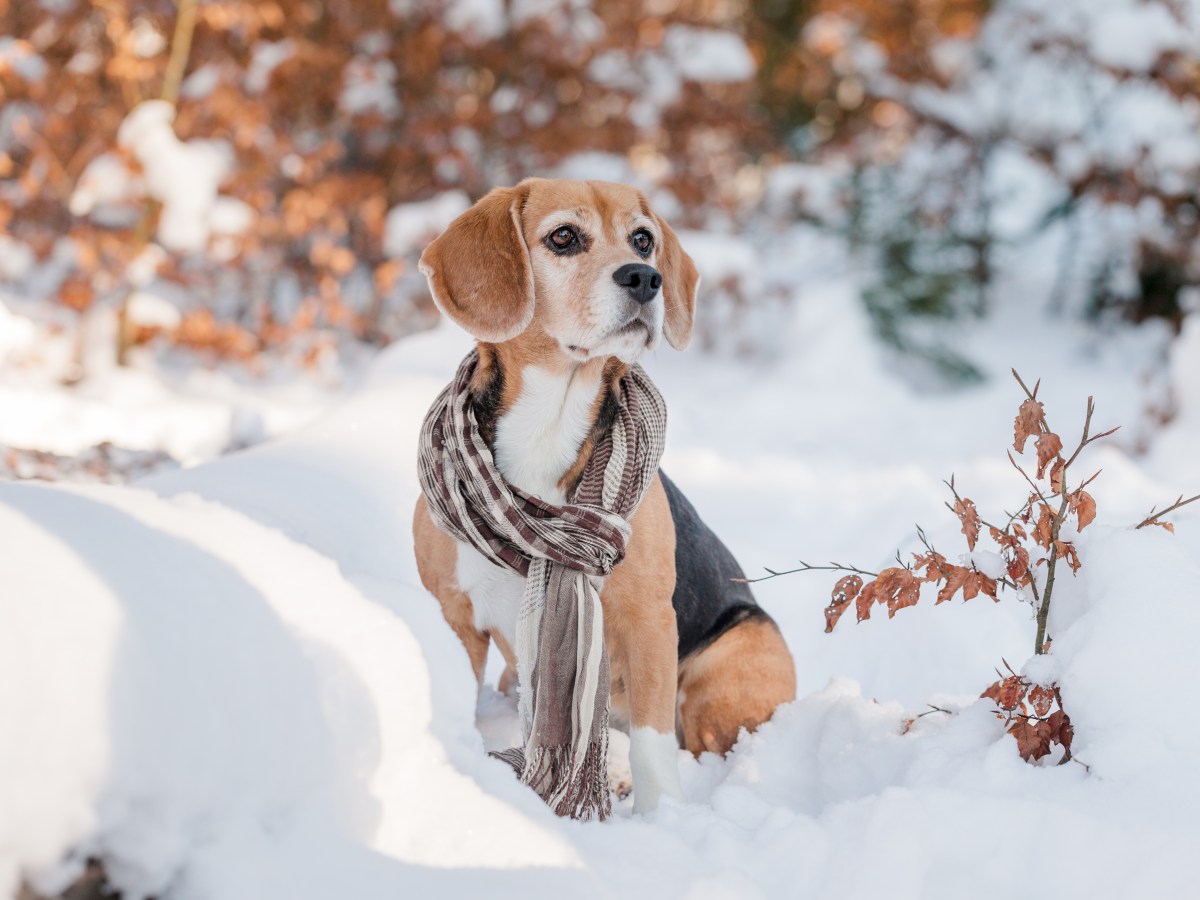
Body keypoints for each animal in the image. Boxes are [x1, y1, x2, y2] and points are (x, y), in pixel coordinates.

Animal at [412, 180, 796, 816]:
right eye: (563, 237)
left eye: (642, 239)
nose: (645, 277)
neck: (549, 423)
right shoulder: (454, 616)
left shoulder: (648, 620)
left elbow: (653, 743)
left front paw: (662, 817)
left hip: (728, 666)